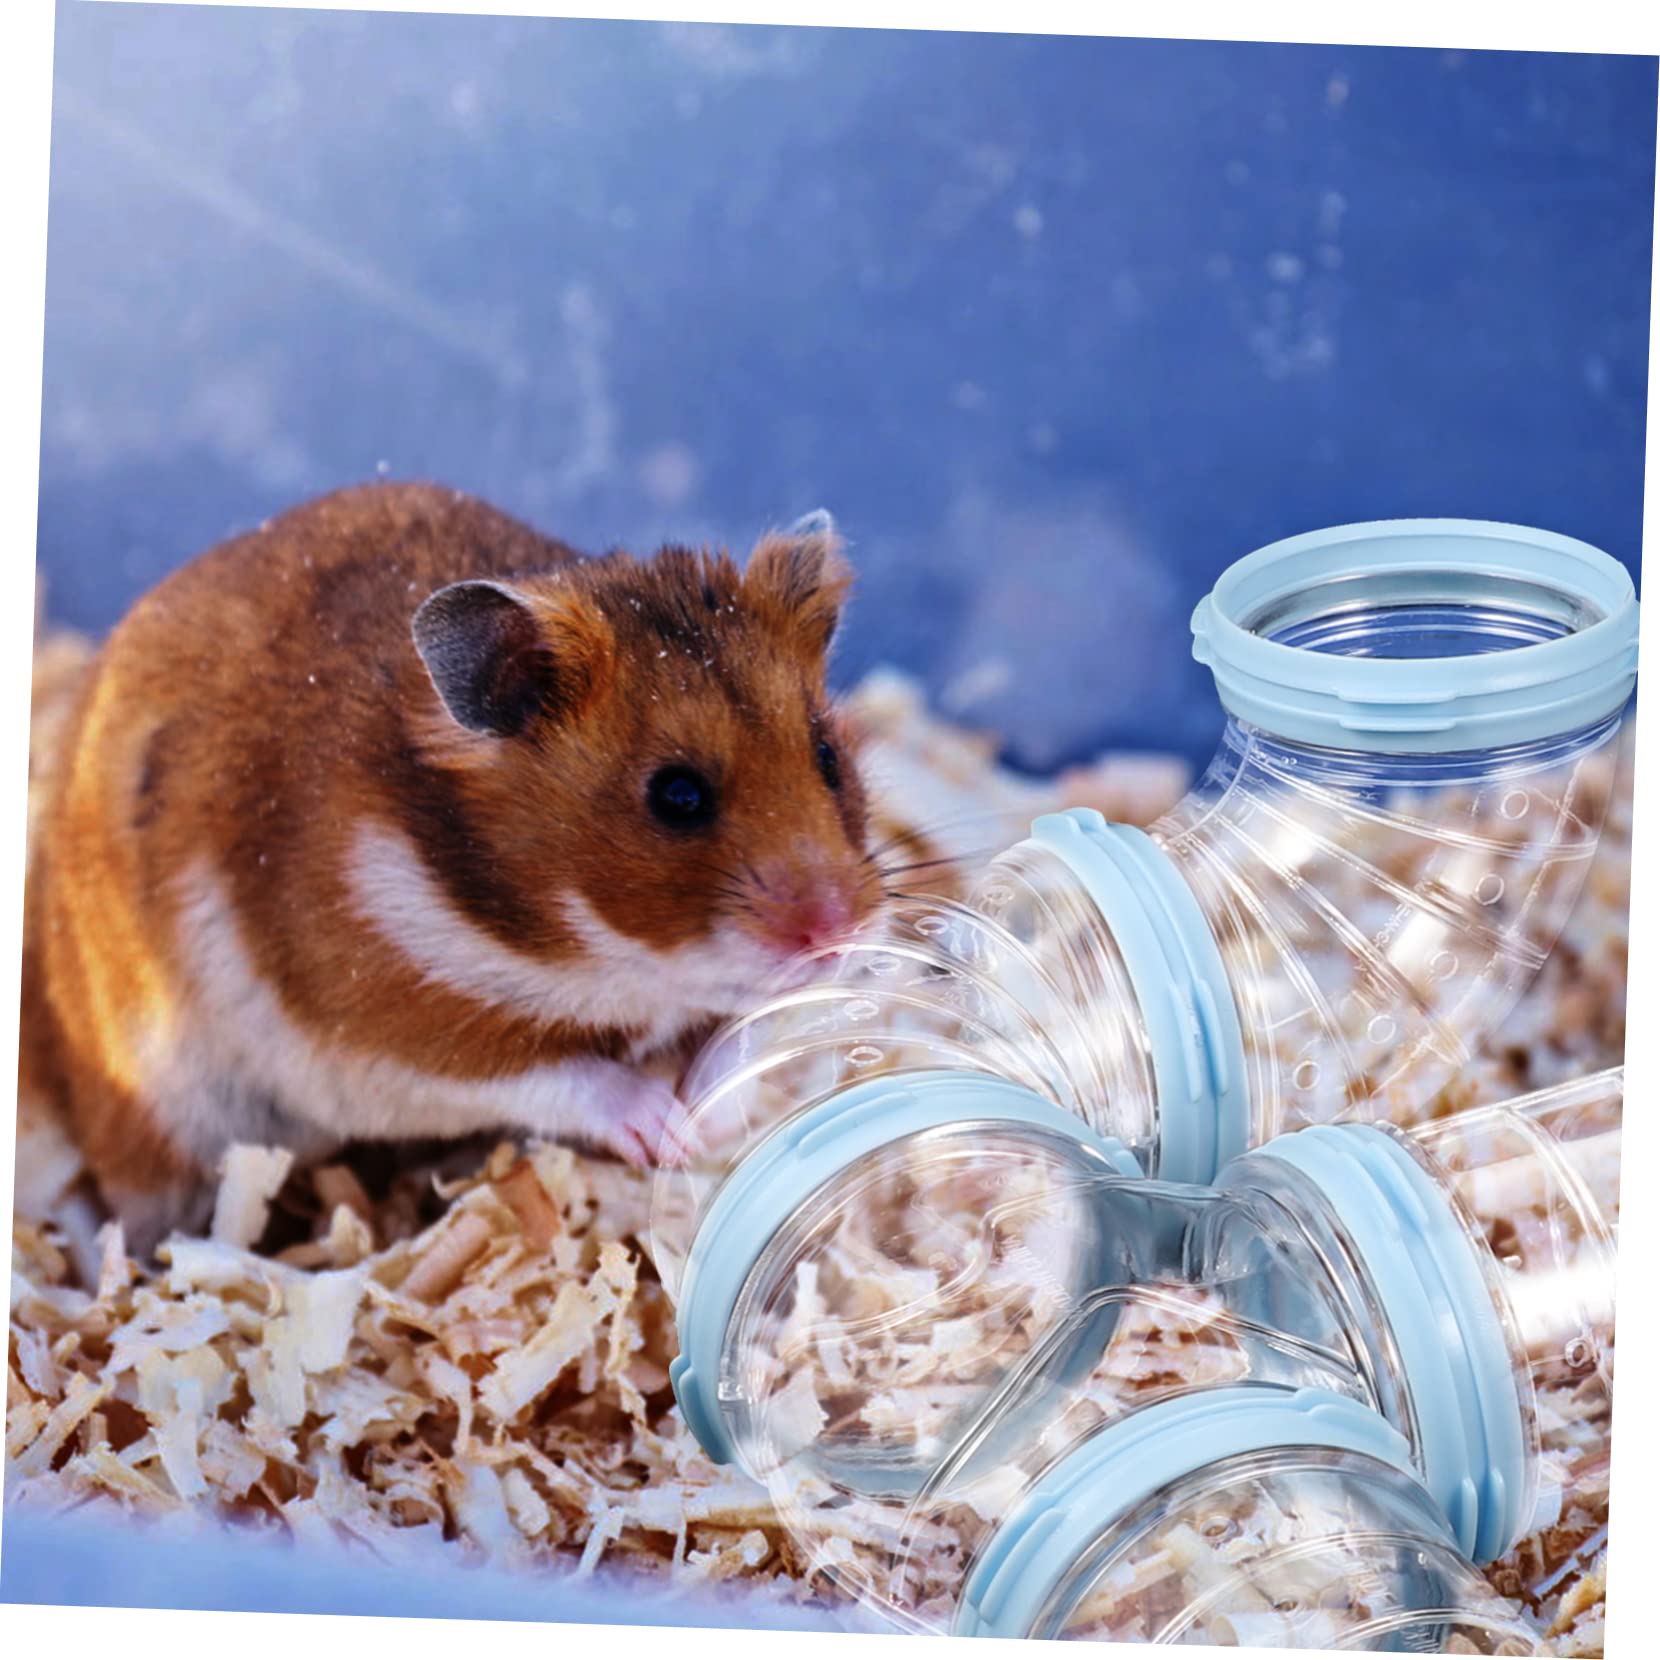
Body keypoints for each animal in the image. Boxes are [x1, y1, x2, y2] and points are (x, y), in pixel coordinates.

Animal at [19, 481, 881, 1252]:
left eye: (827, 754)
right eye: (676, 796)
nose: (836, 934)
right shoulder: (386, 1035)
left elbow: (747, 1029)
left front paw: (710, 1118)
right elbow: (559, 1075)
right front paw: (668, 1134)